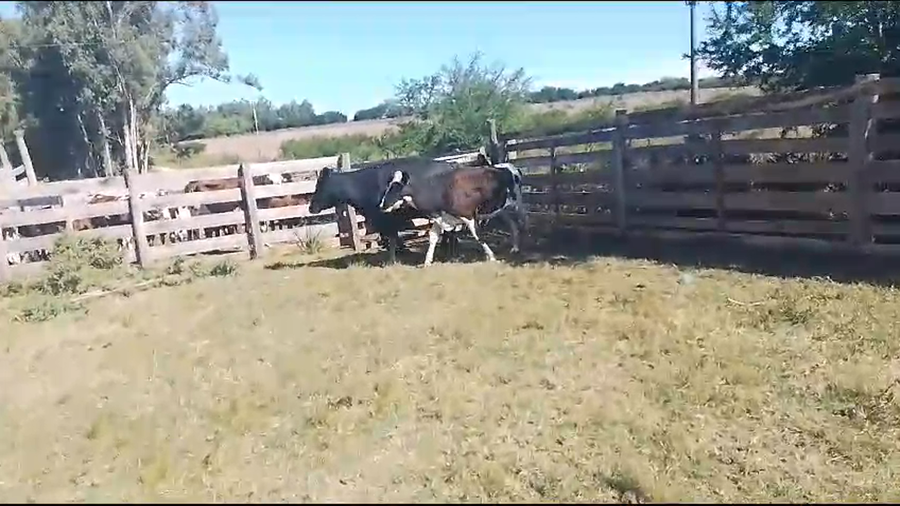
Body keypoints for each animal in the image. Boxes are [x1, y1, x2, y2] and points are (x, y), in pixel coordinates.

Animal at [378, 163, 526, 267]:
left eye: (396, 188)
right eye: (388, 186)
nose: (381, 206)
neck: (442, 190)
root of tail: (507, 166)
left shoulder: (469, 216)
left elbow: (478, 236)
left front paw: (492, 257)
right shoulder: (441, 217)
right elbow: (433, 237)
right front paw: (427, 261)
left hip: (517, 203)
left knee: (522, 220)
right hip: (501, 209)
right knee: (513, 224)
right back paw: (515, 248)